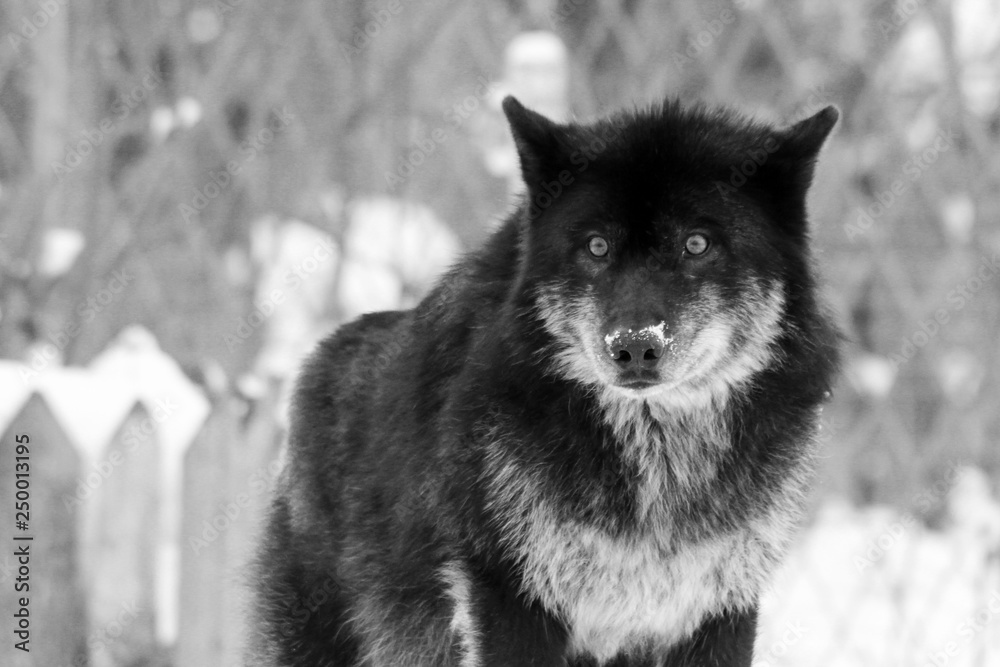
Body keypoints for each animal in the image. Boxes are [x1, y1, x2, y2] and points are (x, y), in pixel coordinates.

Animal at [250, 95, 840, 666]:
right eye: (597, 246)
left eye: (697, 244)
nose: (634, 346)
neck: (657, 466)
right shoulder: (511, 600)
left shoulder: (718, 611)